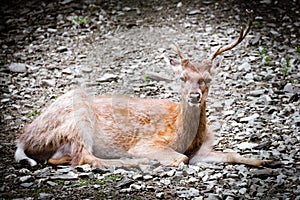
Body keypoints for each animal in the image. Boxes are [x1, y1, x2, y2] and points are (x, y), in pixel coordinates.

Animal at [15, 10, 274, 168]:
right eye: (182, 77)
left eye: (208, 79)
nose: (194, 96)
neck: (184, 136)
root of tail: (22, 139)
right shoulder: (148, 143)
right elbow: (181, 158)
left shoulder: (204, 150)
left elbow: (232, 154)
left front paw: (267, 162)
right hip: (78, 117)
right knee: (86, 157)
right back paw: (133, 162)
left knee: (63, 159)